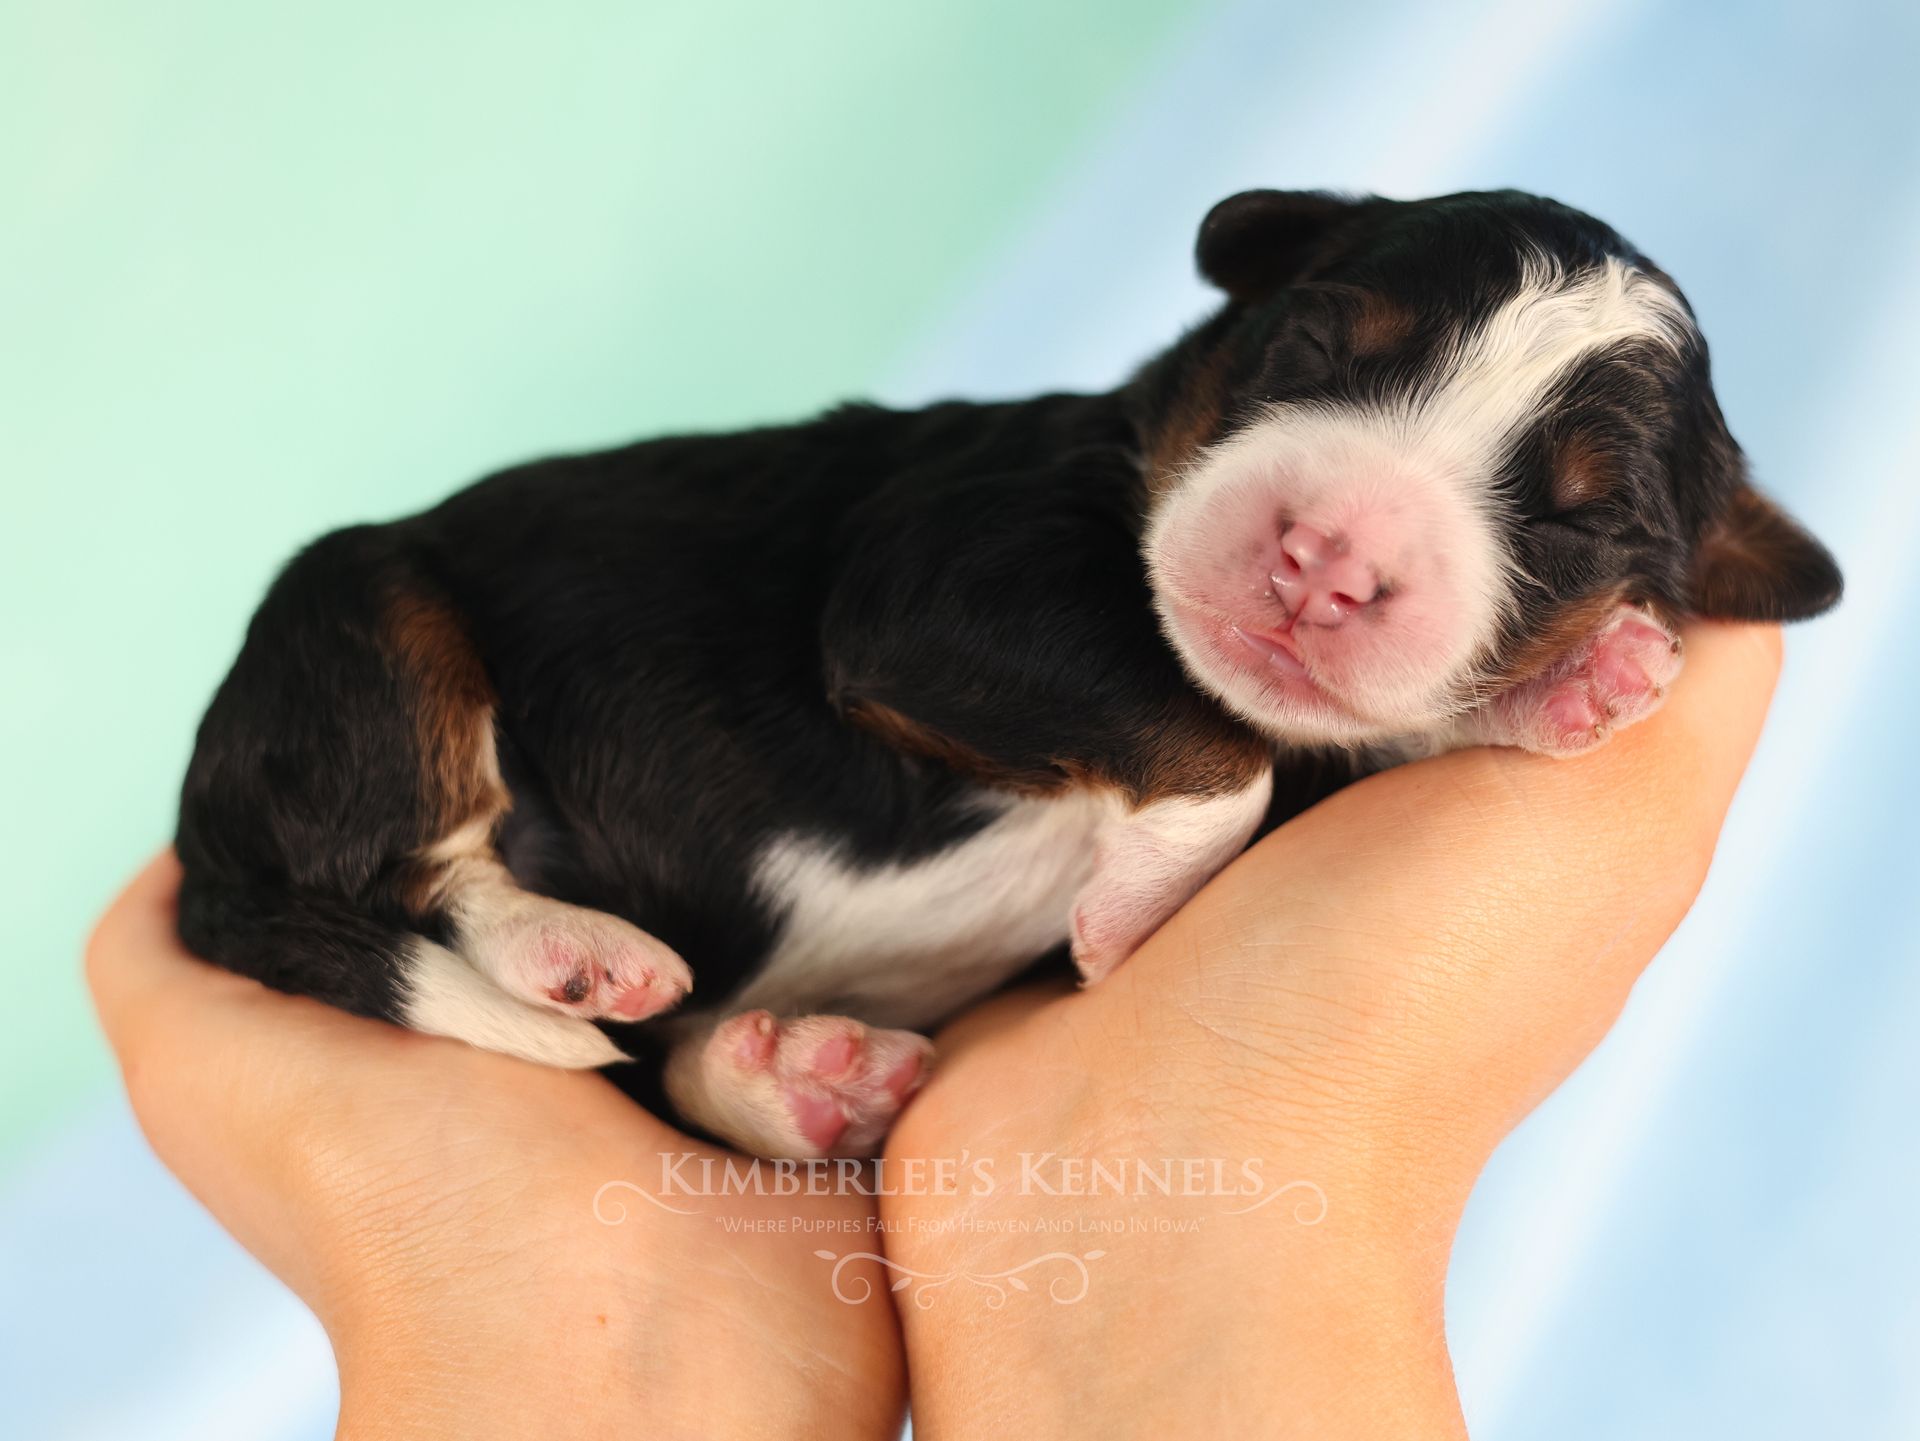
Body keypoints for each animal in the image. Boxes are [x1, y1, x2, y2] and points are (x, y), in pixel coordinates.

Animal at [175, 188, 1841, 1159]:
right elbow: (1209, 750)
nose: (1321, 559)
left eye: (1578, 518)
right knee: (409, 858)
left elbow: (1309, 739)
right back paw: (569, 952)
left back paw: (796, 1077)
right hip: (368, 617)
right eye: (1311, 343)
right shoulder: (931, 586)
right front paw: (1135, 901)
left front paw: (1582, 682)